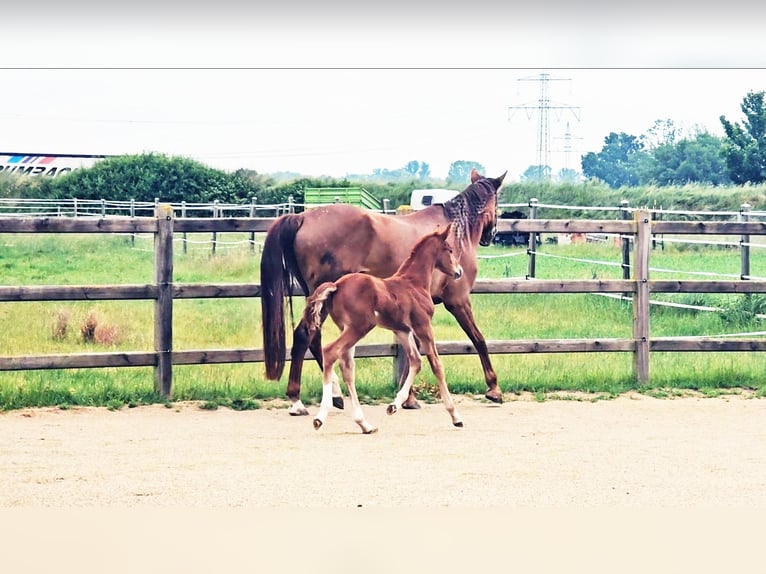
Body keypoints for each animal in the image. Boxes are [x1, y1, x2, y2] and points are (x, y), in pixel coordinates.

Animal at [305, 224, 464, 433]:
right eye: (450, 249)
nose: (459, 271)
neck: (414, 283)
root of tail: (337, 285)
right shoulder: (423, 326)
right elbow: (437, 365)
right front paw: (455, 416)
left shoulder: (402, 330)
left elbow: (416, 361)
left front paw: (394, 406)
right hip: (359, 327)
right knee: (330, 352)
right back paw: (321, 416)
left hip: (346, 328)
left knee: (347, 367)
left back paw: (364, 424)